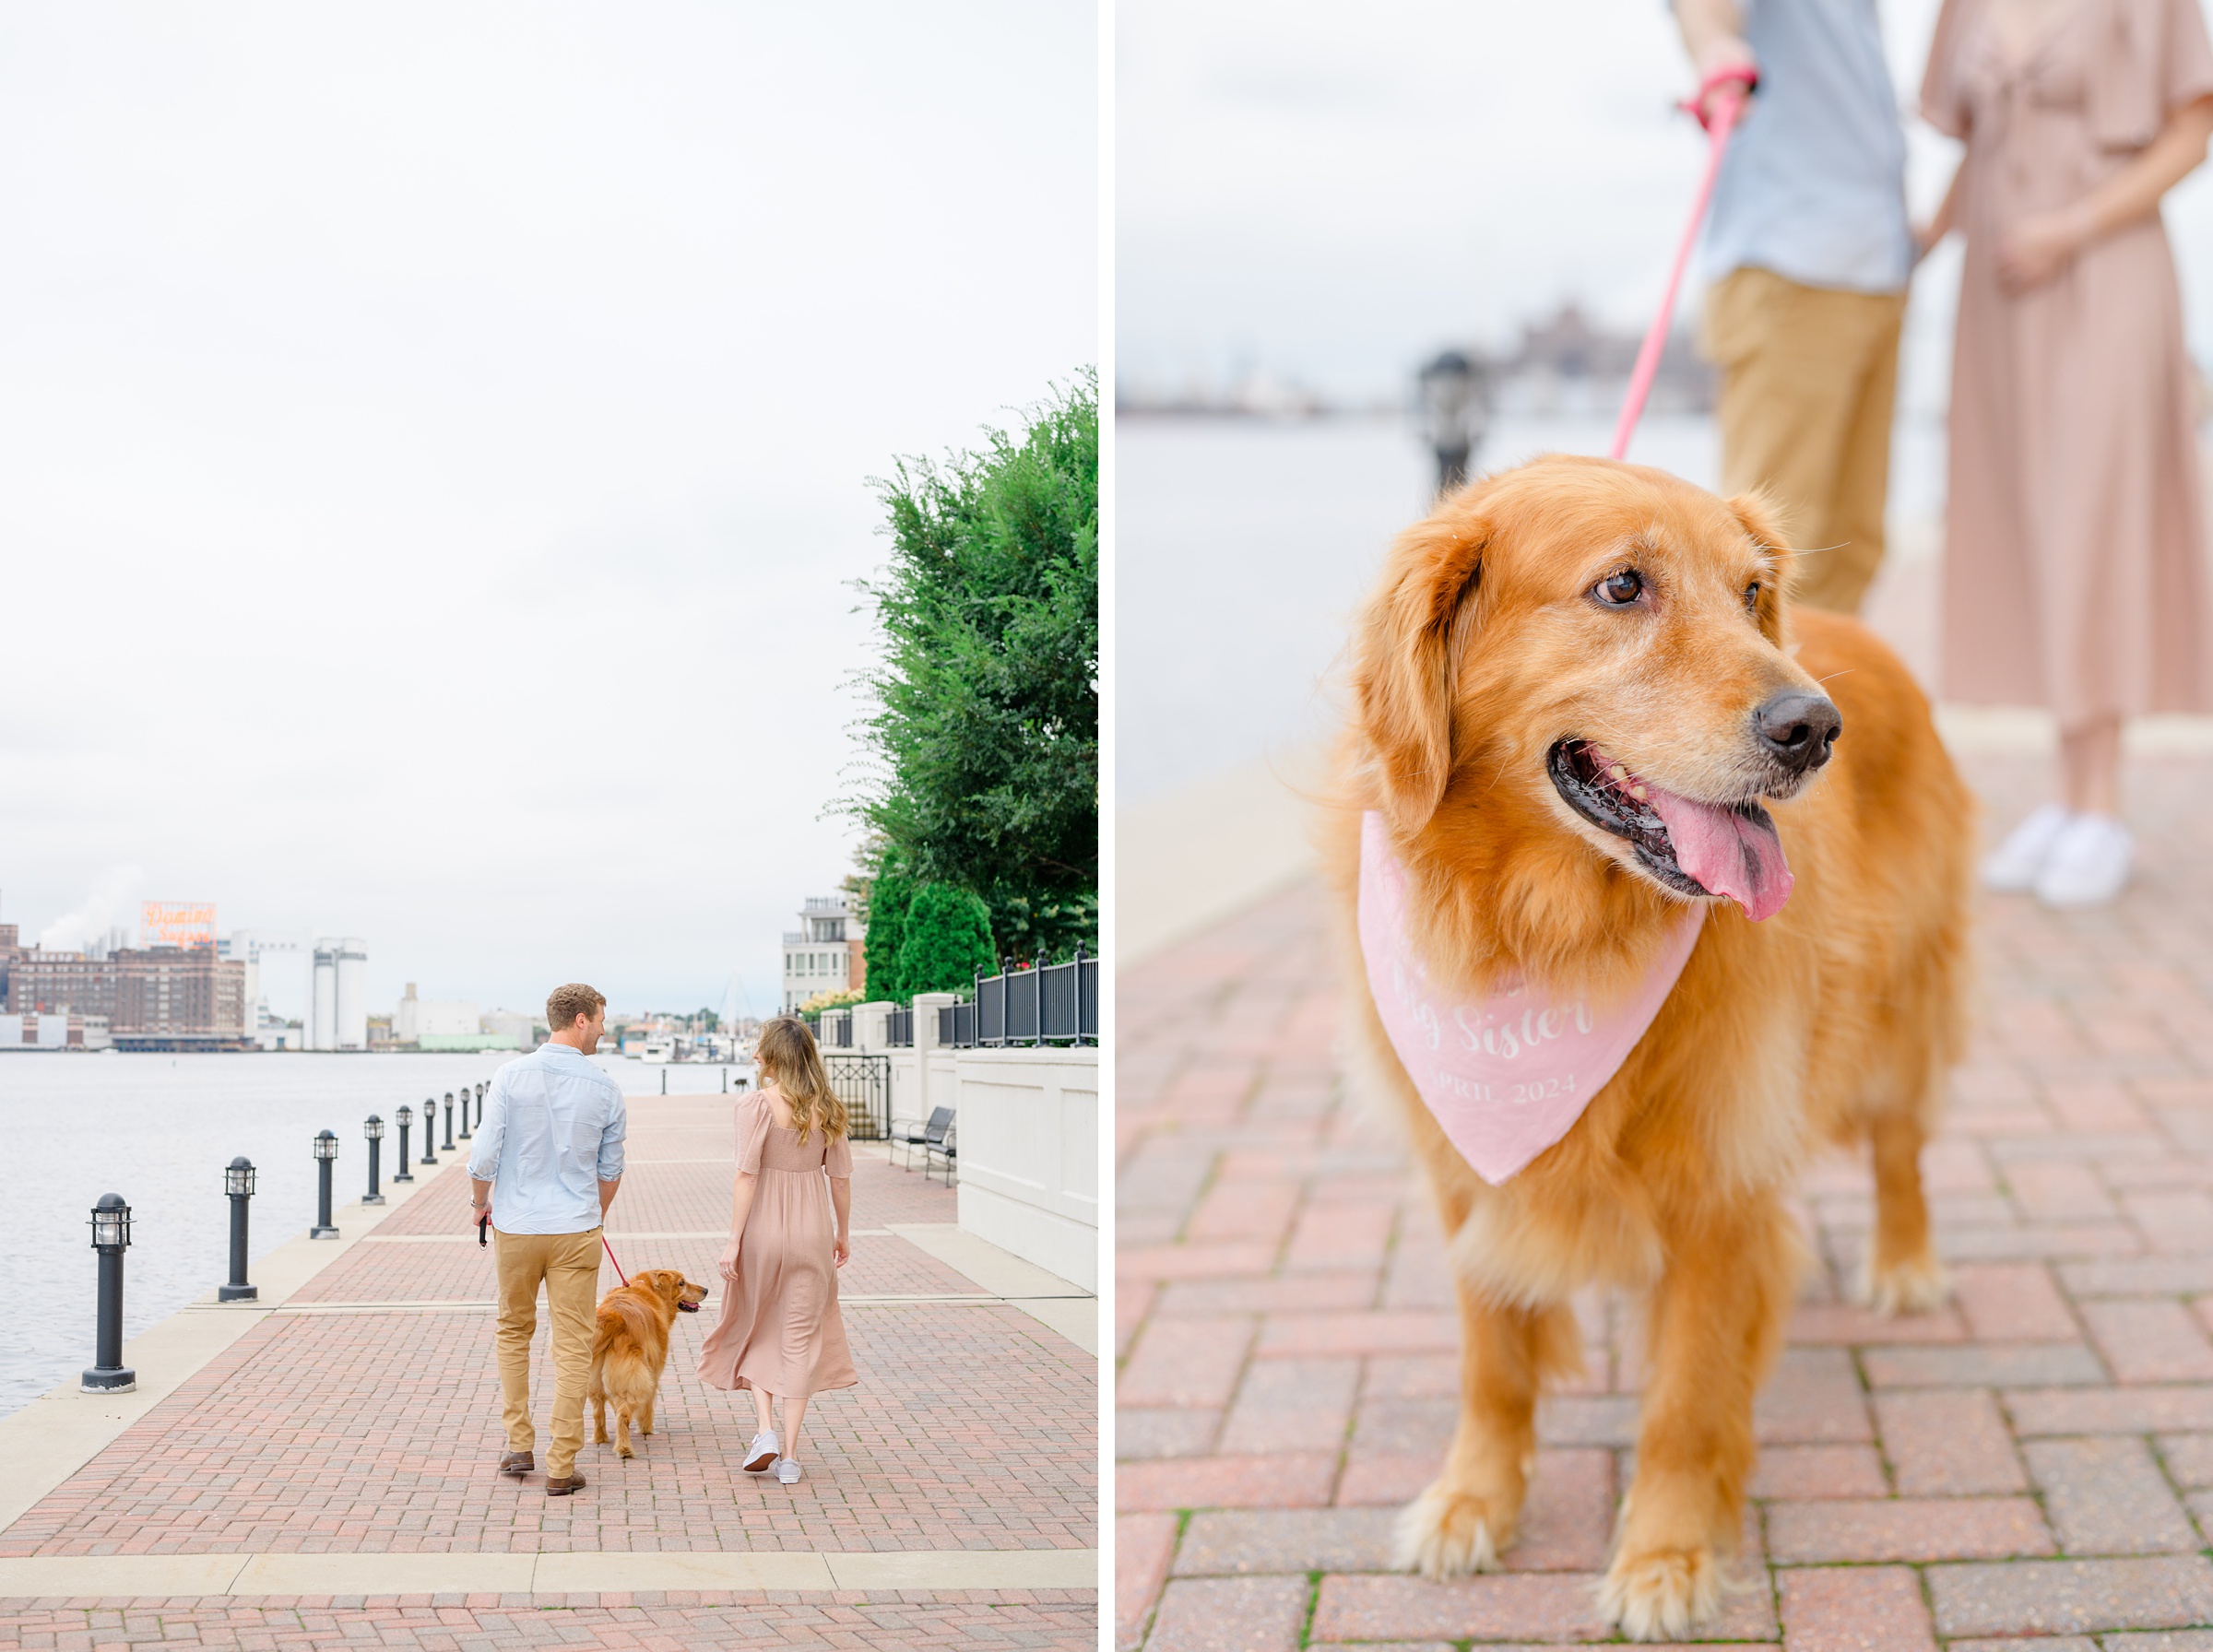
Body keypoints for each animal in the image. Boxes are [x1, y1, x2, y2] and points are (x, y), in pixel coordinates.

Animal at [584, 1265, 704, 1459]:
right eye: (682, 1283)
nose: (706, 1290)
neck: (649, 1290)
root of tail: (614, 1317)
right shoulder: (653, 1370)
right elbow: (647, 1407)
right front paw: (647, 1429)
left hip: (593, 1380)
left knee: (598, 1412)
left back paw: (600, 1439)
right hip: (634, 1378)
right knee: (623, 1415)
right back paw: (624, 1449)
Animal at [1319, 453, 1982, 1645]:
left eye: (1754, 592)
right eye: (1623, 587)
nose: (1815, 728)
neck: (1551, 935)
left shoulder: (1718, 1193)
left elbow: (1682, 1403)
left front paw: (1666, 1556)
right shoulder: (1465, 1170)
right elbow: (1493, 1364)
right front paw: (1473, 1500)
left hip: (1901, 1008)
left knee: (1901, 1146)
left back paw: (1905, 1262)